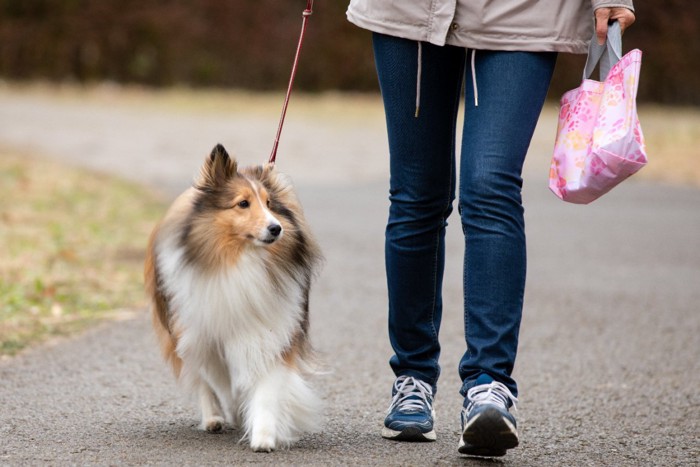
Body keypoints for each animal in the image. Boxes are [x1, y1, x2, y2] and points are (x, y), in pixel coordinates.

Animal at [146, 144, 326, 452]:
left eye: (269, 203)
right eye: (243, 203)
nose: (276, 228)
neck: (241, 261)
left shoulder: (272, 332)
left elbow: (266, 387)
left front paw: (263, 435)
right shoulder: (201, 337)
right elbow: (218, 381)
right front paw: (232, 409)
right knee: (202, 381)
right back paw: (214, 418)